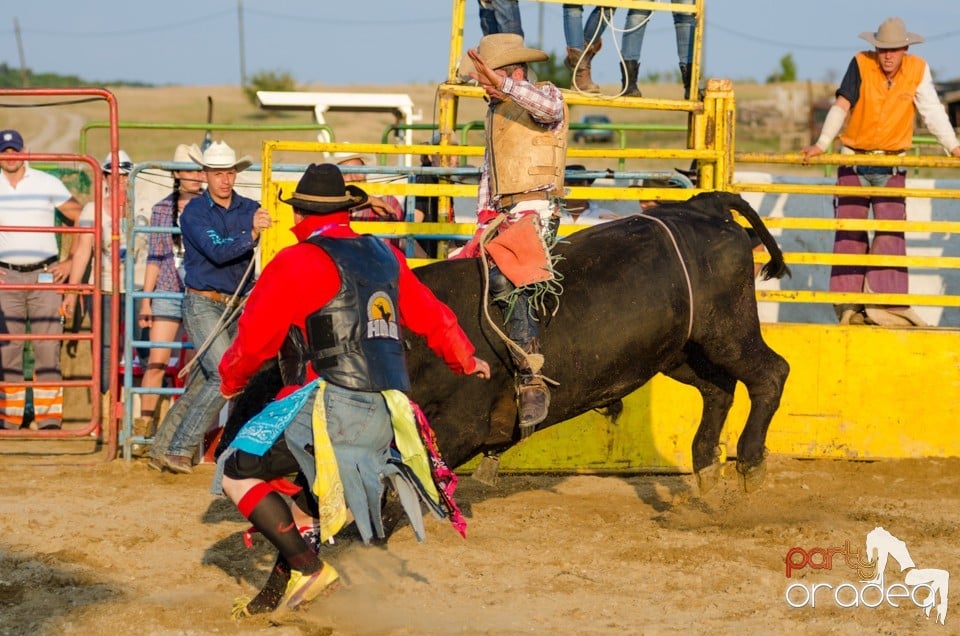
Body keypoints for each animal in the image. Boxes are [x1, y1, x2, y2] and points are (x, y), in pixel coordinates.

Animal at [221, 191, 792, 494]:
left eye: (266, 405)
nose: (229, 457)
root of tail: (701, 207)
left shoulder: (460, 428)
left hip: (728, 331)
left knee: (770, 373)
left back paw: (750, 463)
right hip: (681, 351)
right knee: (718, 389)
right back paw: (706, 466)